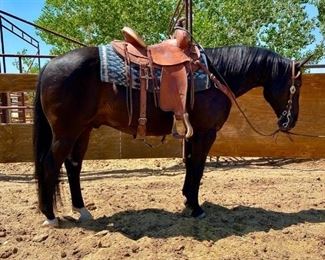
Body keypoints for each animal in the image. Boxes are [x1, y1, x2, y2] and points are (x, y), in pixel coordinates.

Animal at [34, 44, 310, 225]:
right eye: (296, 86)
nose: (291, 120)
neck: (215, 74)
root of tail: (49, 65)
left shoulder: (192, 133)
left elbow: (189, 164)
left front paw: (188, 201)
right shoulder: (205, 133)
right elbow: (197, 167)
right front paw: (196, 208)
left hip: (82, 131)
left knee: (73, 165)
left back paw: (81, 210)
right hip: (66, 133)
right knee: (50, 165)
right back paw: (50, 216)